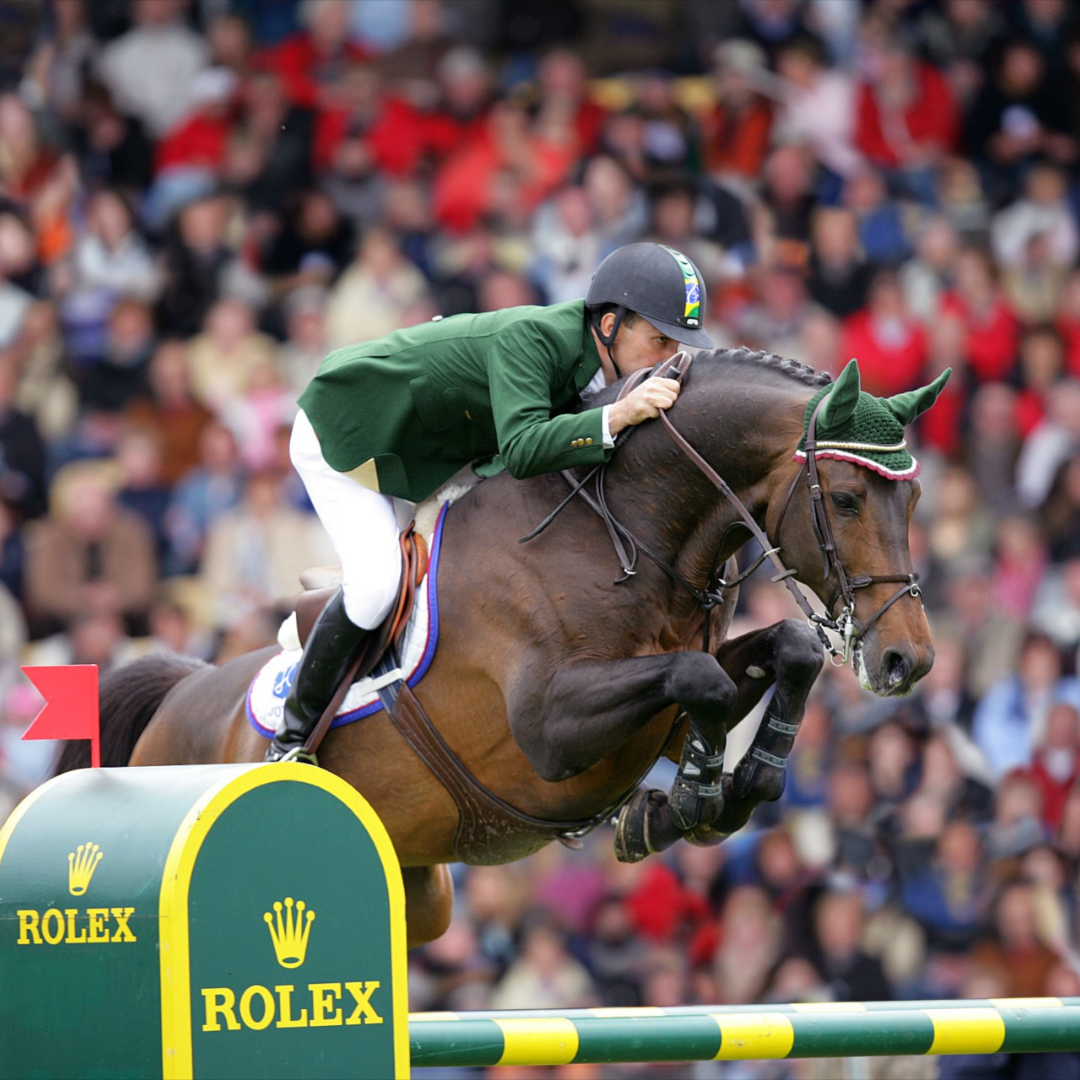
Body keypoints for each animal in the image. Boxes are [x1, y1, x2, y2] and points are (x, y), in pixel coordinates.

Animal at [56, 349, 946, 948]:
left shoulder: (657, 700)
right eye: (845, 498)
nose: (908, 662)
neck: (627, 527)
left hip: (421, 898)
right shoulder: (547, 731)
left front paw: (707, 797)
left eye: (915, 501)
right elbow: (701, 681)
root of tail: (180, 693)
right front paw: (690, 799)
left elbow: (783, 651)